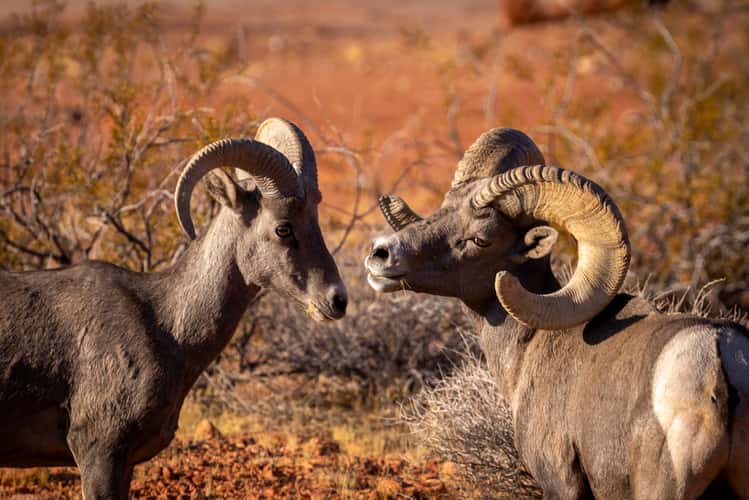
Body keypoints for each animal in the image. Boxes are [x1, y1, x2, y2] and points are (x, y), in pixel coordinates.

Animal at [0, 117, 348, 499]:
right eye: (283, 228)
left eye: (315, 219)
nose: (337, 300)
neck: (166, 327)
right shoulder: (98, 454)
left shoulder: (123, 465)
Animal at [365, 127, 749, 499]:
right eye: (442, 210)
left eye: (479, 240)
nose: (381, 254)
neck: (530, 346)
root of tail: (716, 359)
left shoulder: (559, 483)